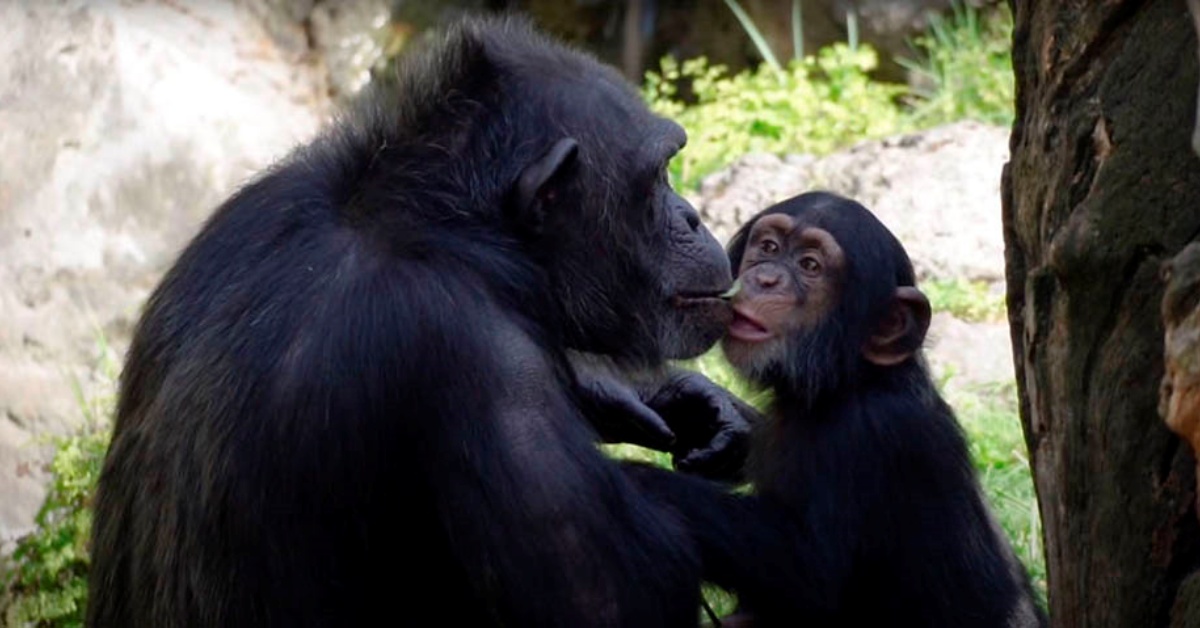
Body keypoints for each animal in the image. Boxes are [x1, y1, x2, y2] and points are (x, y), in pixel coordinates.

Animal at [624, 192, 1046, 628]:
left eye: (810, 266)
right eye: (768, 247)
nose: (766, 278)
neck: (843, 384)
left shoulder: (871, 433)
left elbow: (811, 570)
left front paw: (640, 482)